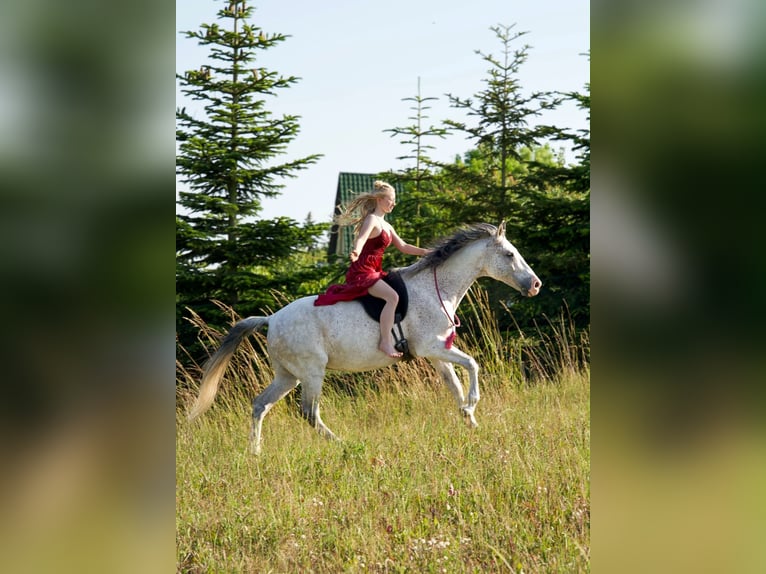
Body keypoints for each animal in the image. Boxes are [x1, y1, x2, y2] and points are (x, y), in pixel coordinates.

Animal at [187, 222, 542, 454]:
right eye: (509, 254)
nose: (535, 285)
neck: (435, 289)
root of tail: (271, 319)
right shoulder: (432, 347)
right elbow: (473, 365)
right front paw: (472, 406)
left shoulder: (438, 353)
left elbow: (455, 384)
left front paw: (470, 422)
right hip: (312, 373)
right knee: (309, 412)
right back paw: (341, 443)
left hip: (288, 375)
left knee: (260, 405)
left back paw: (255, 452)